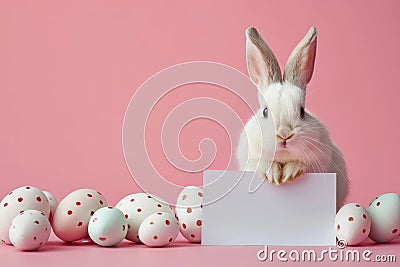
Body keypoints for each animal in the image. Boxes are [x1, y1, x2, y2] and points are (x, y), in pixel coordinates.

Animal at [239, 26, 348, 207]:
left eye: (302, 111)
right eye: (265, 111)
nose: (284, 135)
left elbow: (302, 163)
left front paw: (290, 172)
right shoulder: (251, 158)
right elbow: (262, 164)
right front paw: (273, 174)